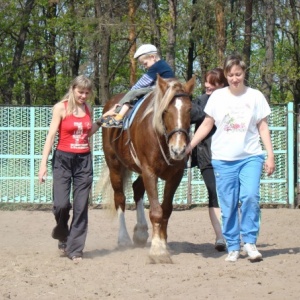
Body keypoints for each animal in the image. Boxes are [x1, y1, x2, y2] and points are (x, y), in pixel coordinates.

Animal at [101, 75, 195, 262]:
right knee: (120, 198)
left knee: (137, 188)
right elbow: (156, 211)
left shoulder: (175, 175)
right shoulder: (149, 172)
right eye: (165, 111)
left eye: (189, 110)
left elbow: (166, 210)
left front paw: (163, 242)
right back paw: (123, 239)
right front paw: (158, 250)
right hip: (115, 166)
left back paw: (141, 232)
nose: (178, 149)